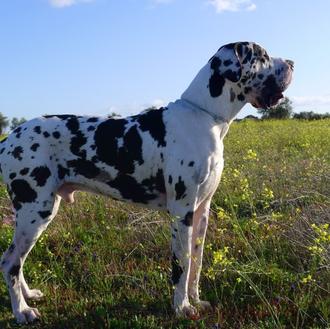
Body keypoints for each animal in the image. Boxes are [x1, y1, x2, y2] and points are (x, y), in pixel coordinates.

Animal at [0, 41, 294, 322]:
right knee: (9, 261)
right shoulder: (182, 212)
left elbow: (196, 263)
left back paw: (28, 296)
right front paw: (182, 308)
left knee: (18, 260)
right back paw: (22, 312)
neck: (206, 117)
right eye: (262, 55)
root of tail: (7, 139)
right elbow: (182, 264)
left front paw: (196, 300)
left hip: (39, 213)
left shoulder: (202, 210)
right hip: (35, 210)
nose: (292, 62)